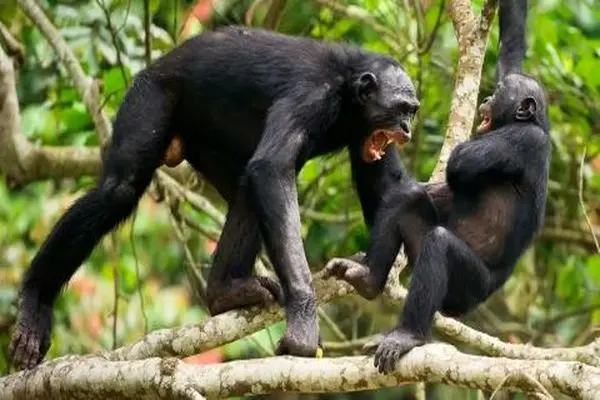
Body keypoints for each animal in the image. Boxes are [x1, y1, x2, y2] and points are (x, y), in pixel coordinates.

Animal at [8, 25, 426, 368]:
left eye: (412, 110)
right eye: (401, 108)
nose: (407, 128)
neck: (347, 93)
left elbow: (388, 187)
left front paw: (371, 274)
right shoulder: (311, 95)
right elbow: (272, 168)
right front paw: (304, 318)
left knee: (245, 188)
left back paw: (225, 292)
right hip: (151, 95)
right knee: (120, 189)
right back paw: (34, 306)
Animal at [326, 0, 552, 374]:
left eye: (499, 94)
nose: (486, 98)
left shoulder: (523, 140)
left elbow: (460, 163)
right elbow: (512, 47)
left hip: (468, 290)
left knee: (440, 244)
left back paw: (408, 336)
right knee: (404, 199)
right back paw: (368, 279)